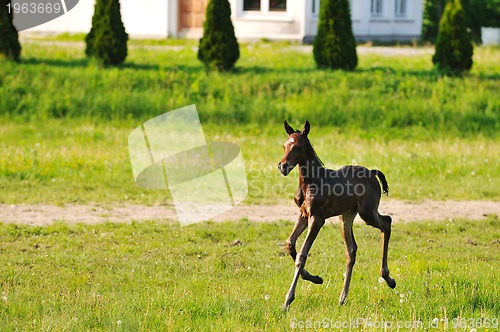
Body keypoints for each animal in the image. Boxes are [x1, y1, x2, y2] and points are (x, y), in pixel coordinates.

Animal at [278, 120, 394, 310]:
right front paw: (315, 278)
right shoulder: (303, 214)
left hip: (367, 212)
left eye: (298, 147)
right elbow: (289, 243)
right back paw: (343, 297)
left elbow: (302, 254)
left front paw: (287, 300)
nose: (282, 166)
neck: (310, 181)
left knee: (387, 222)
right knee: (351, 249)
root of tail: (371, 172)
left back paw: (388, 278)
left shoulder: (317, 219)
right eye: (284, 145)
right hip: (346, 216)